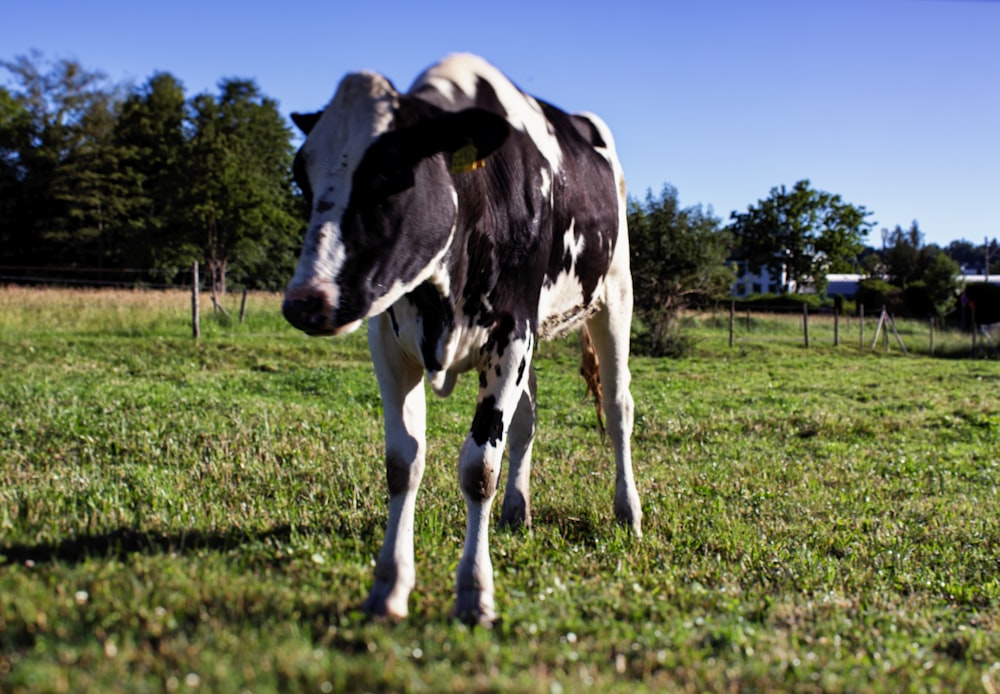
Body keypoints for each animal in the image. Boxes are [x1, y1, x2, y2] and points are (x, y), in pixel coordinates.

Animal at [282, 54, 640, 628]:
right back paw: (517, 509)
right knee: (527, 421)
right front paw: (389, 585)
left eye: (388, 170)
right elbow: (402, 463)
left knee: (617, 407)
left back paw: (628, 511)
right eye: (302, 175)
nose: (304, 302)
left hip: (614, 294)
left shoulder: (510, 333)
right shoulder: (389, 340)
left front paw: (474, 592)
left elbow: (478, 468)